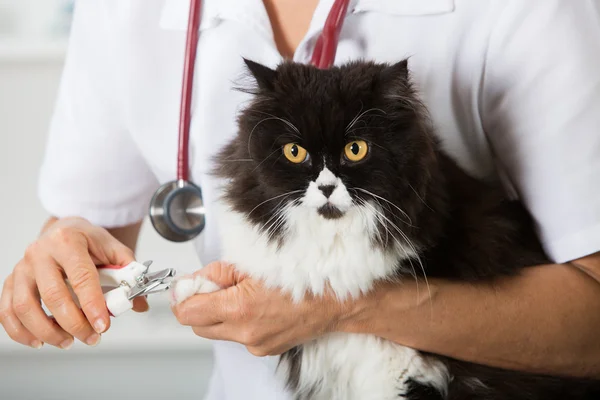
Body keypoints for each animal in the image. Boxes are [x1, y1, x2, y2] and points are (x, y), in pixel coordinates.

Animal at [171, 59, 600, 400]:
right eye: (295, 152)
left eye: (355, 149)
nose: (326, 187)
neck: (331, 243)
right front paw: (189, 288)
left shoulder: (408, 371)